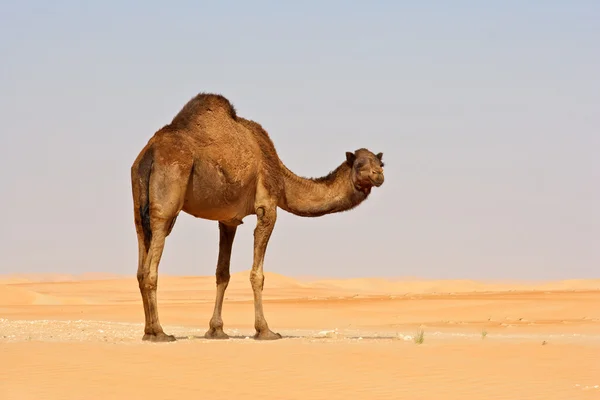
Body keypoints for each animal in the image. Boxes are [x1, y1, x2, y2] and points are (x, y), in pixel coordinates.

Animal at [129, 92, 386, 342]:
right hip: (169, 192)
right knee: (152, 264)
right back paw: (160, 333)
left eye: (380, 162)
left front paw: (216, 330)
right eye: (360, 164)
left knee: (141, 263)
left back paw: (148, 331)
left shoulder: (228, 219)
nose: (379, 175)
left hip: (138, 203)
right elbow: (257, 275)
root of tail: (150, 153)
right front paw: (265, 330)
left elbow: (222, 273)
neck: (281, 178)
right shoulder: (267, 206)